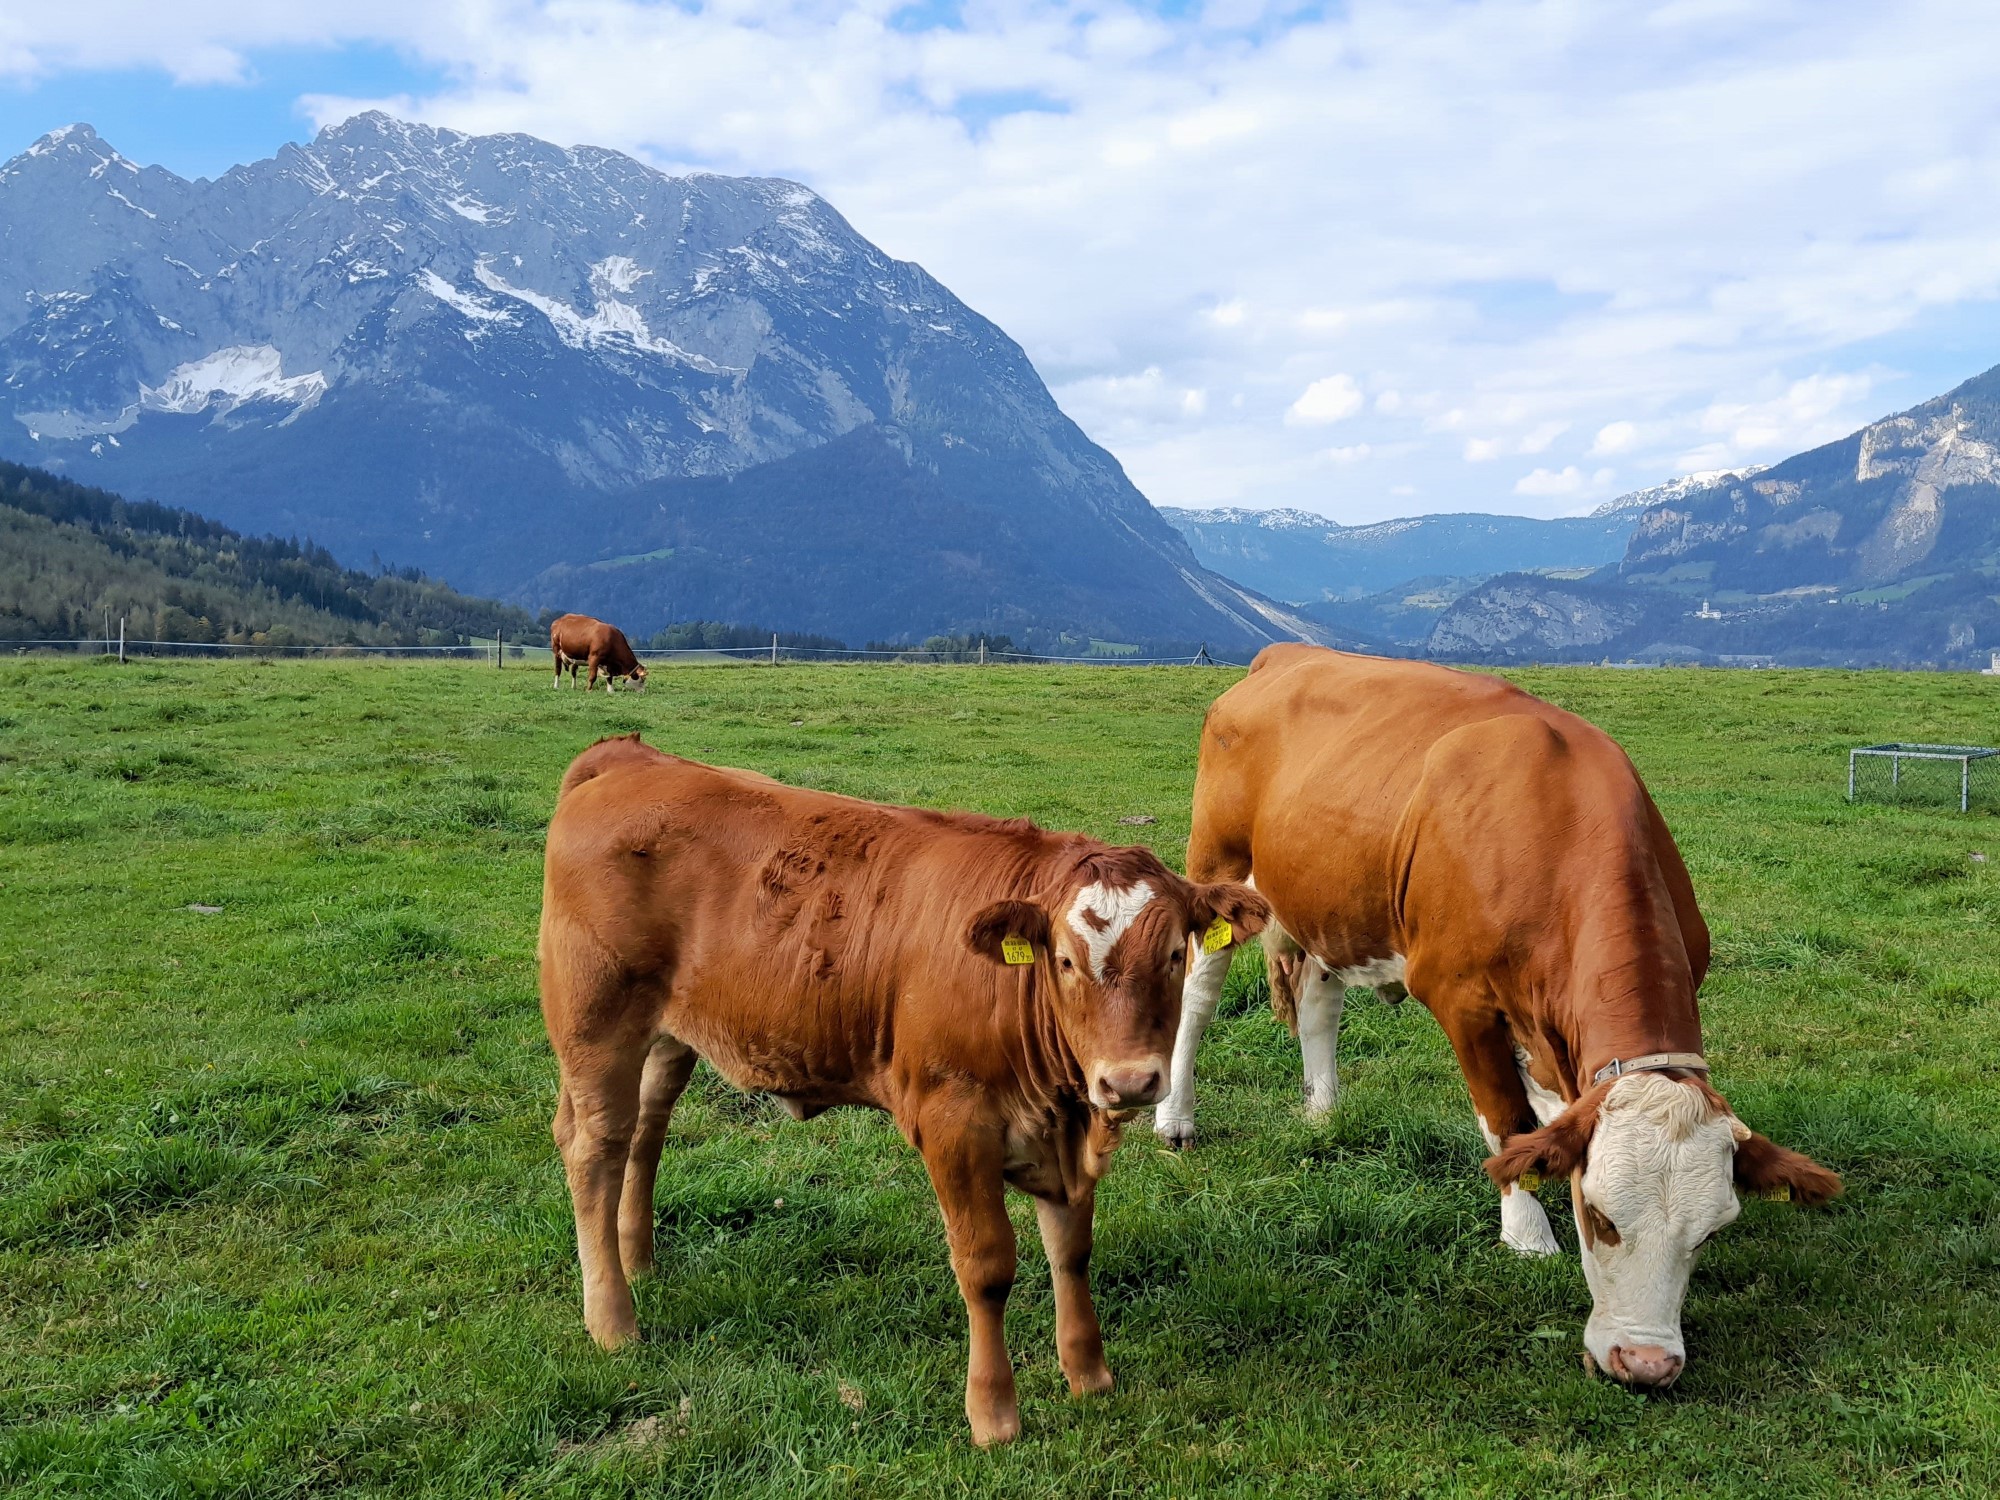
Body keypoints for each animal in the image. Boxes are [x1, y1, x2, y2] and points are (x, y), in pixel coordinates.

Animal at [536, 736, 1264, 1448]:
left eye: (1176, 954)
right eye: (1063, 960)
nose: (1130, 1080)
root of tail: (630, 757)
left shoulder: (1067, 1129)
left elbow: (1072, 1250)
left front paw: (1089, 1374)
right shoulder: (954, 1121)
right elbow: (986, 1265)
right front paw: (993, 1415)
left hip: (669, 1035)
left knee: (647, 1130)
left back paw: (638, 1262)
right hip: (596, 1021)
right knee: (595, 1147)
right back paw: (612, 1319)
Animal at [1160, 640, 1840, 1392]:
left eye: (1713, 1232)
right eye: (1598, 1215)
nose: (1646, 1364)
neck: (1561, 830)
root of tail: (1287, 653)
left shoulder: (1552, 1023)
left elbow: (1550, 1114)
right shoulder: (1461, 998)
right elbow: (1505, 1118)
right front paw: (1527, 1232)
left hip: (1325, 900)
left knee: (1317, 999)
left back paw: (1324, 1113)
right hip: (1217, 868)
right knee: (1197, 999)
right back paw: (1176, 1119)